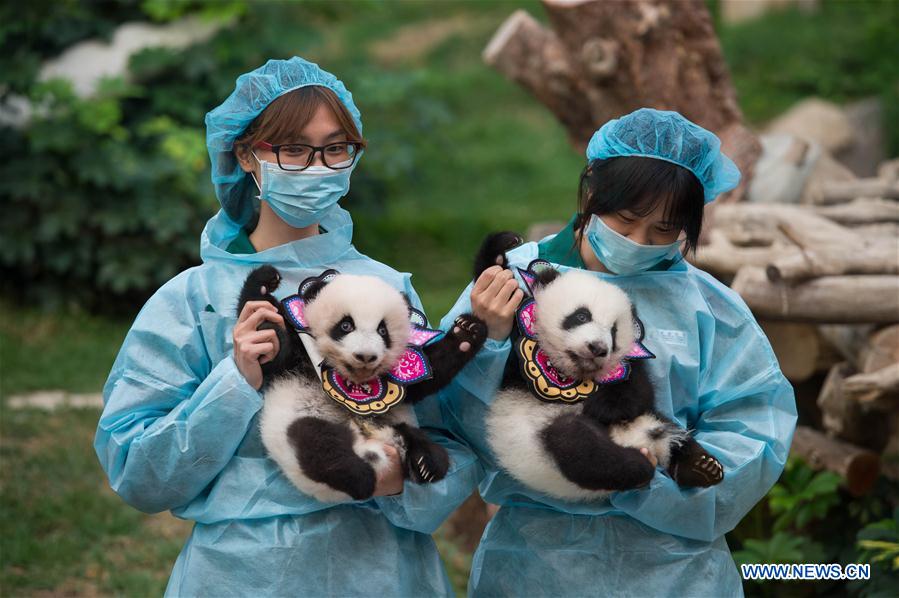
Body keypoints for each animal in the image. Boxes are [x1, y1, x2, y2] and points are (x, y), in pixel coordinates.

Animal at [238, 264, 487, 503]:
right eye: (346, 325)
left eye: (383, 330)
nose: (365, 356)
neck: (353, 377)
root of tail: (369, 444)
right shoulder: (300, 354)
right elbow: (274, 352)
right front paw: (265, 281)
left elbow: (427, 377)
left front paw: (467, 332)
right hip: (298, 421)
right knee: (318, 446)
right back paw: (361, 477)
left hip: (394, 424)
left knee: (423, 445)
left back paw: (426, 463)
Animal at [476, 232, 724, 501]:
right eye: (582, 316)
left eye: (614, 331)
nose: (597, 348)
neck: (573, 370)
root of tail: (637, 440)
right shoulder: (517, 355)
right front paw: (502, 248)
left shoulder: (626, 368)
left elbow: (638, 391)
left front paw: (601, 407)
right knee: (579, 446)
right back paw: (640, 466)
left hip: (650, 418)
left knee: (668, 430)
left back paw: (702, 466)